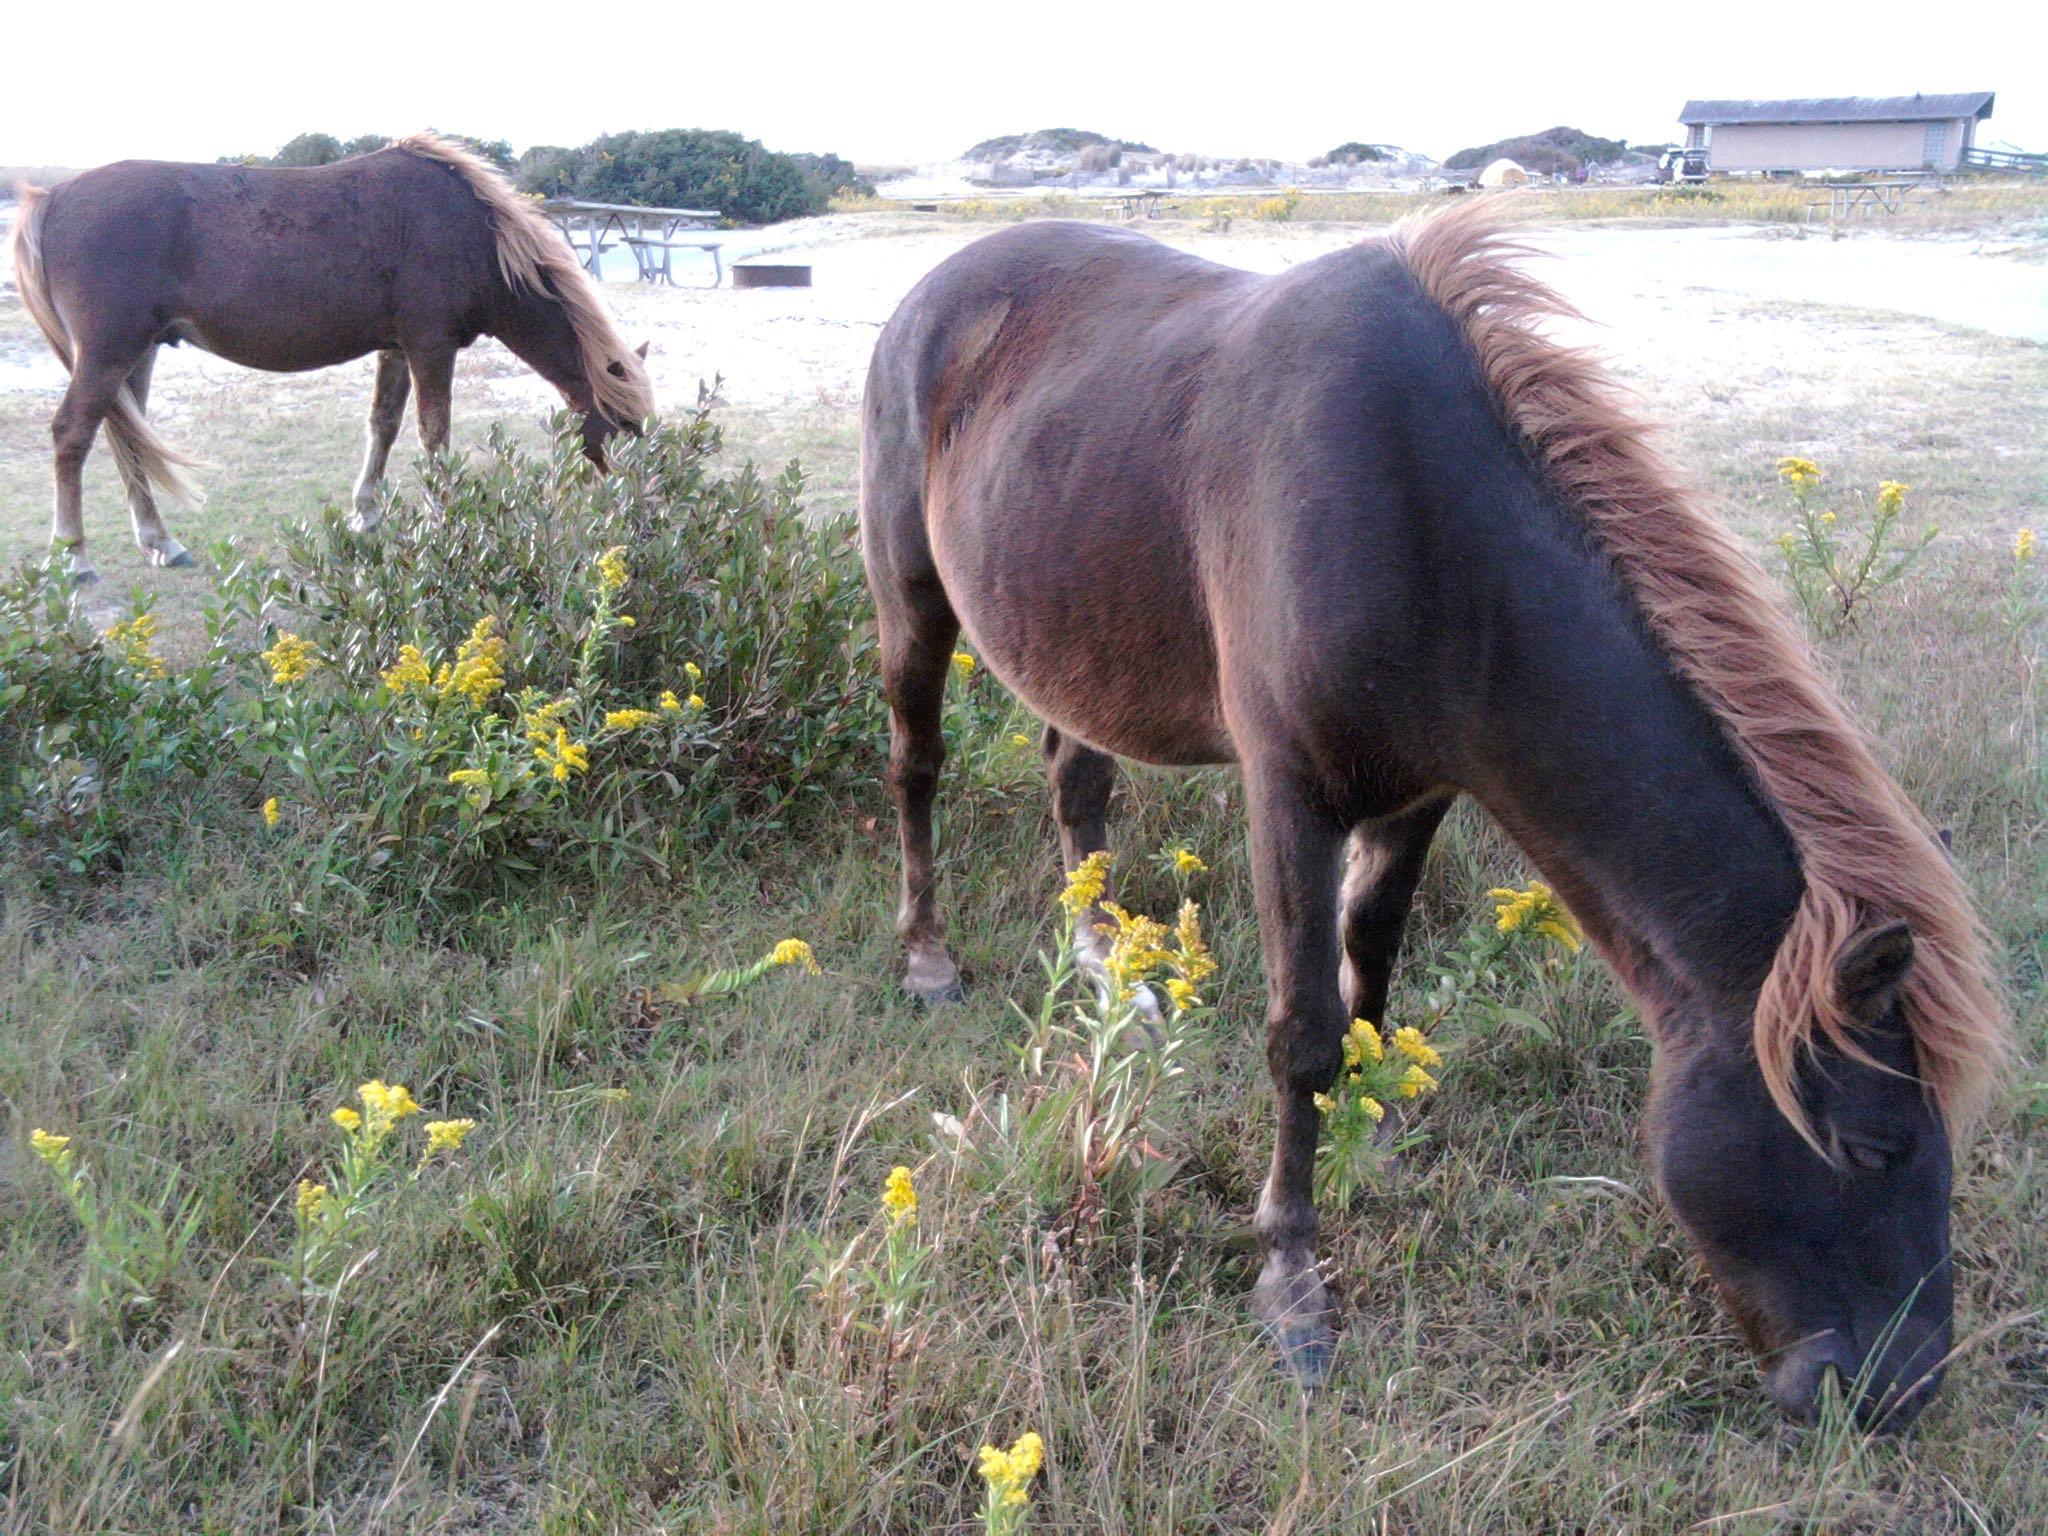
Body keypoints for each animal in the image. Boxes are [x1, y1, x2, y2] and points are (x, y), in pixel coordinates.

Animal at [8, 135, 654, 582]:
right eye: (624, 424)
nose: (638, 511)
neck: (473, 233)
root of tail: (52, 198)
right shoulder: (430, 346)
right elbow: (434, 435)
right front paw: (445, 521)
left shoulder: (397, 348)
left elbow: (384, 426)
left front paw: (365, 514)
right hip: (108, 352)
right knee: (73, 435)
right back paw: (74, 557)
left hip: (135, 354)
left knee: (126, 439)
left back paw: (160, 542)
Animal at [858, 206, 2006, 1428]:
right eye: (1871, 1146)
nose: (1901, 1390)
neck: (1427, 531)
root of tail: (936, 289)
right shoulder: (1289, 796)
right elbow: (1303, 1035)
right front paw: (1291, 1280)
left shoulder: (1420, 793)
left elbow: (1373, 957)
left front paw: (1373, 1124)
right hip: (911, 596)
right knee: (917, 766)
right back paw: (926, 955)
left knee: (1076, 779)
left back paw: (1101, 958)